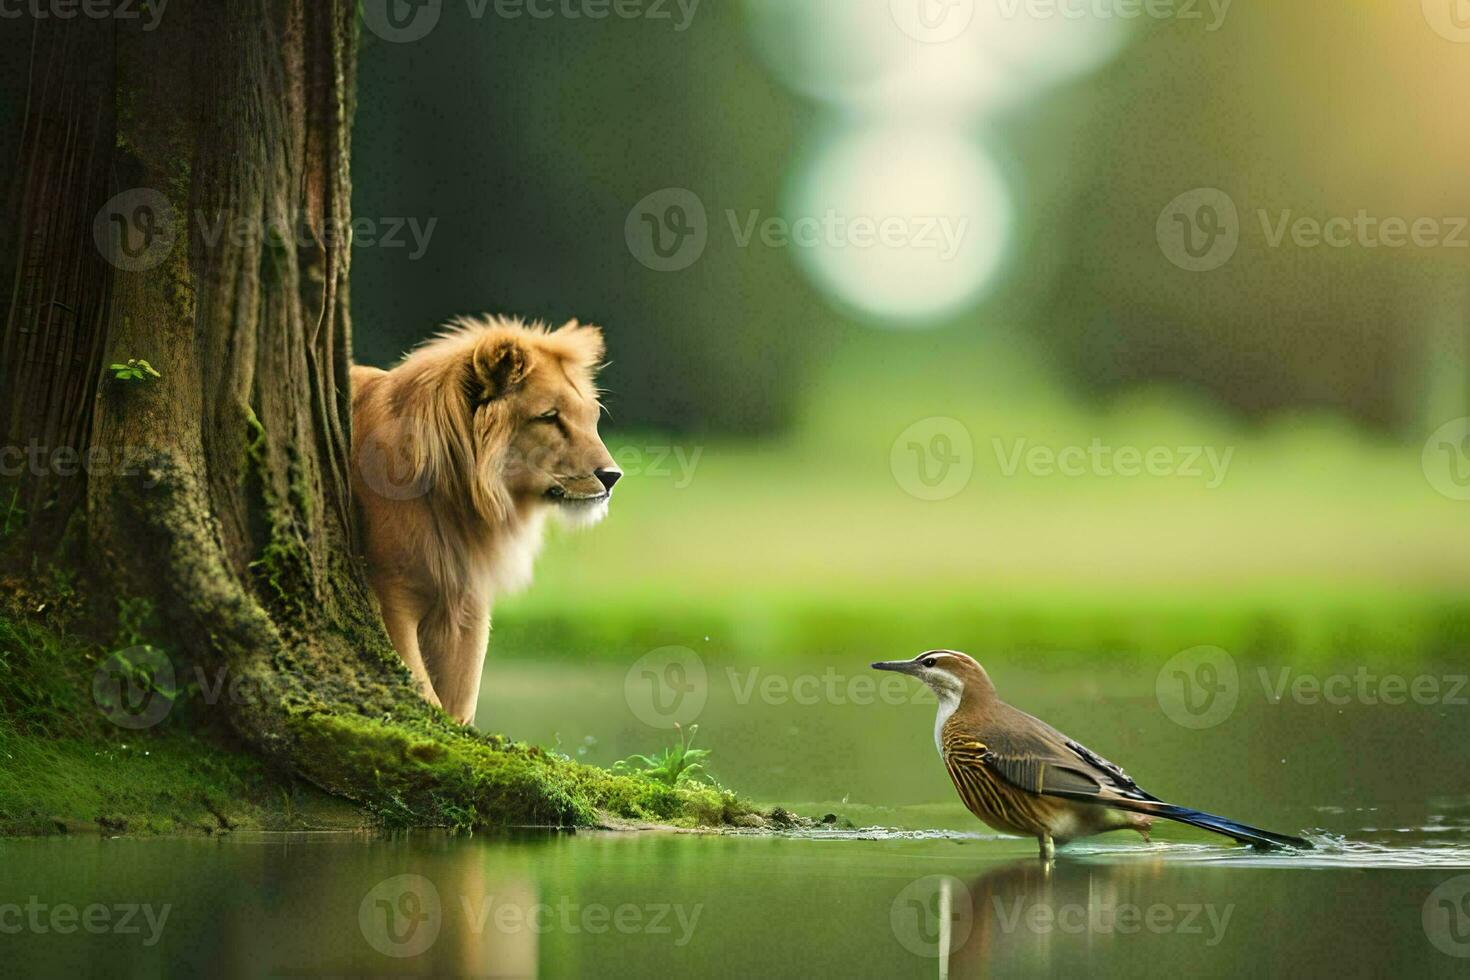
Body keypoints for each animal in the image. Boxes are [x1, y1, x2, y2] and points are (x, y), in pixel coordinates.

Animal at [349, 318, 620, 725]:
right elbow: (424, 690)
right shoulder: (391, 596)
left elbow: (458, 704)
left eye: (590, 417)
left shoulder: (467, 606)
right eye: (548, 417)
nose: (612, 476)